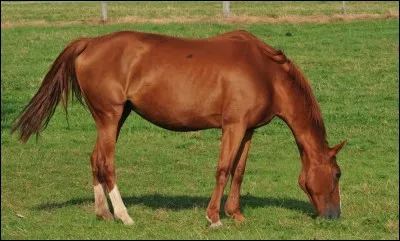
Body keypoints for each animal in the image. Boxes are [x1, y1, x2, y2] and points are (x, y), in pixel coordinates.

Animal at [10, 29, 346, 227]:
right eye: (338, 174)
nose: (334, 216)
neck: (266, 71)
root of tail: (90, 43)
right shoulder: (233, 126)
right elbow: (223, 169)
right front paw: (214, 218)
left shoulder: (248, 129)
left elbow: (238, 171)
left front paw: (235, 214)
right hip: (109, 117)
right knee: (106, 164)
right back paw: (124, 215)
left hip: (115, 119)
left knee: (95, 160)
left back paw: (103, 213)